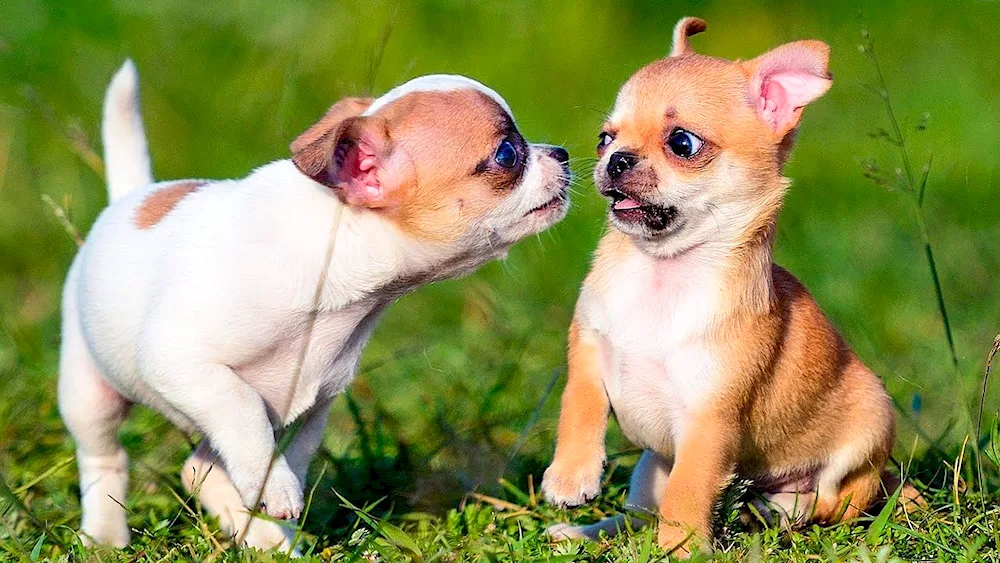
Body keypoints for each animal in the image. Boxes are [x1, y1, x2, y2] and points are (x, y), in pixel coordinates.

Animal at [60, 60, 572, 552]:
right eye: (507, 154)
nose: (562, 153)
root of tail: (130, 197)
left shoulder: (306, 413)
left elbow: (276, 453)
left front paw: (274, 520)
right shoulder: (183, 363)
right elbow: (243, 409)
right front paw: (274, 491)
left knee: (200, 468)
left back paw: (261, 540)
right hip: (90, 396)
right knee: (106, 458)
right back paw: (105, 535)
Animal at [544, 18, 912, 560]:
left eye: (682, 143)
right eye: (603, 139)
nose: (616, 160)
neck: (661, 271)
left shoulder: (709, 419)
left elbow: (689, 491)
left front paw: (681, 548)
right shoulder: (589, 348)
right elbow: (580, 404)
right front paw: (571, 476)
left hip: (869, 430)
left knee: (831, 503)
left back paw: (781, 511)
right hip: (646, 470)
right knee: (636, 518)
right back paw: (583, 533)